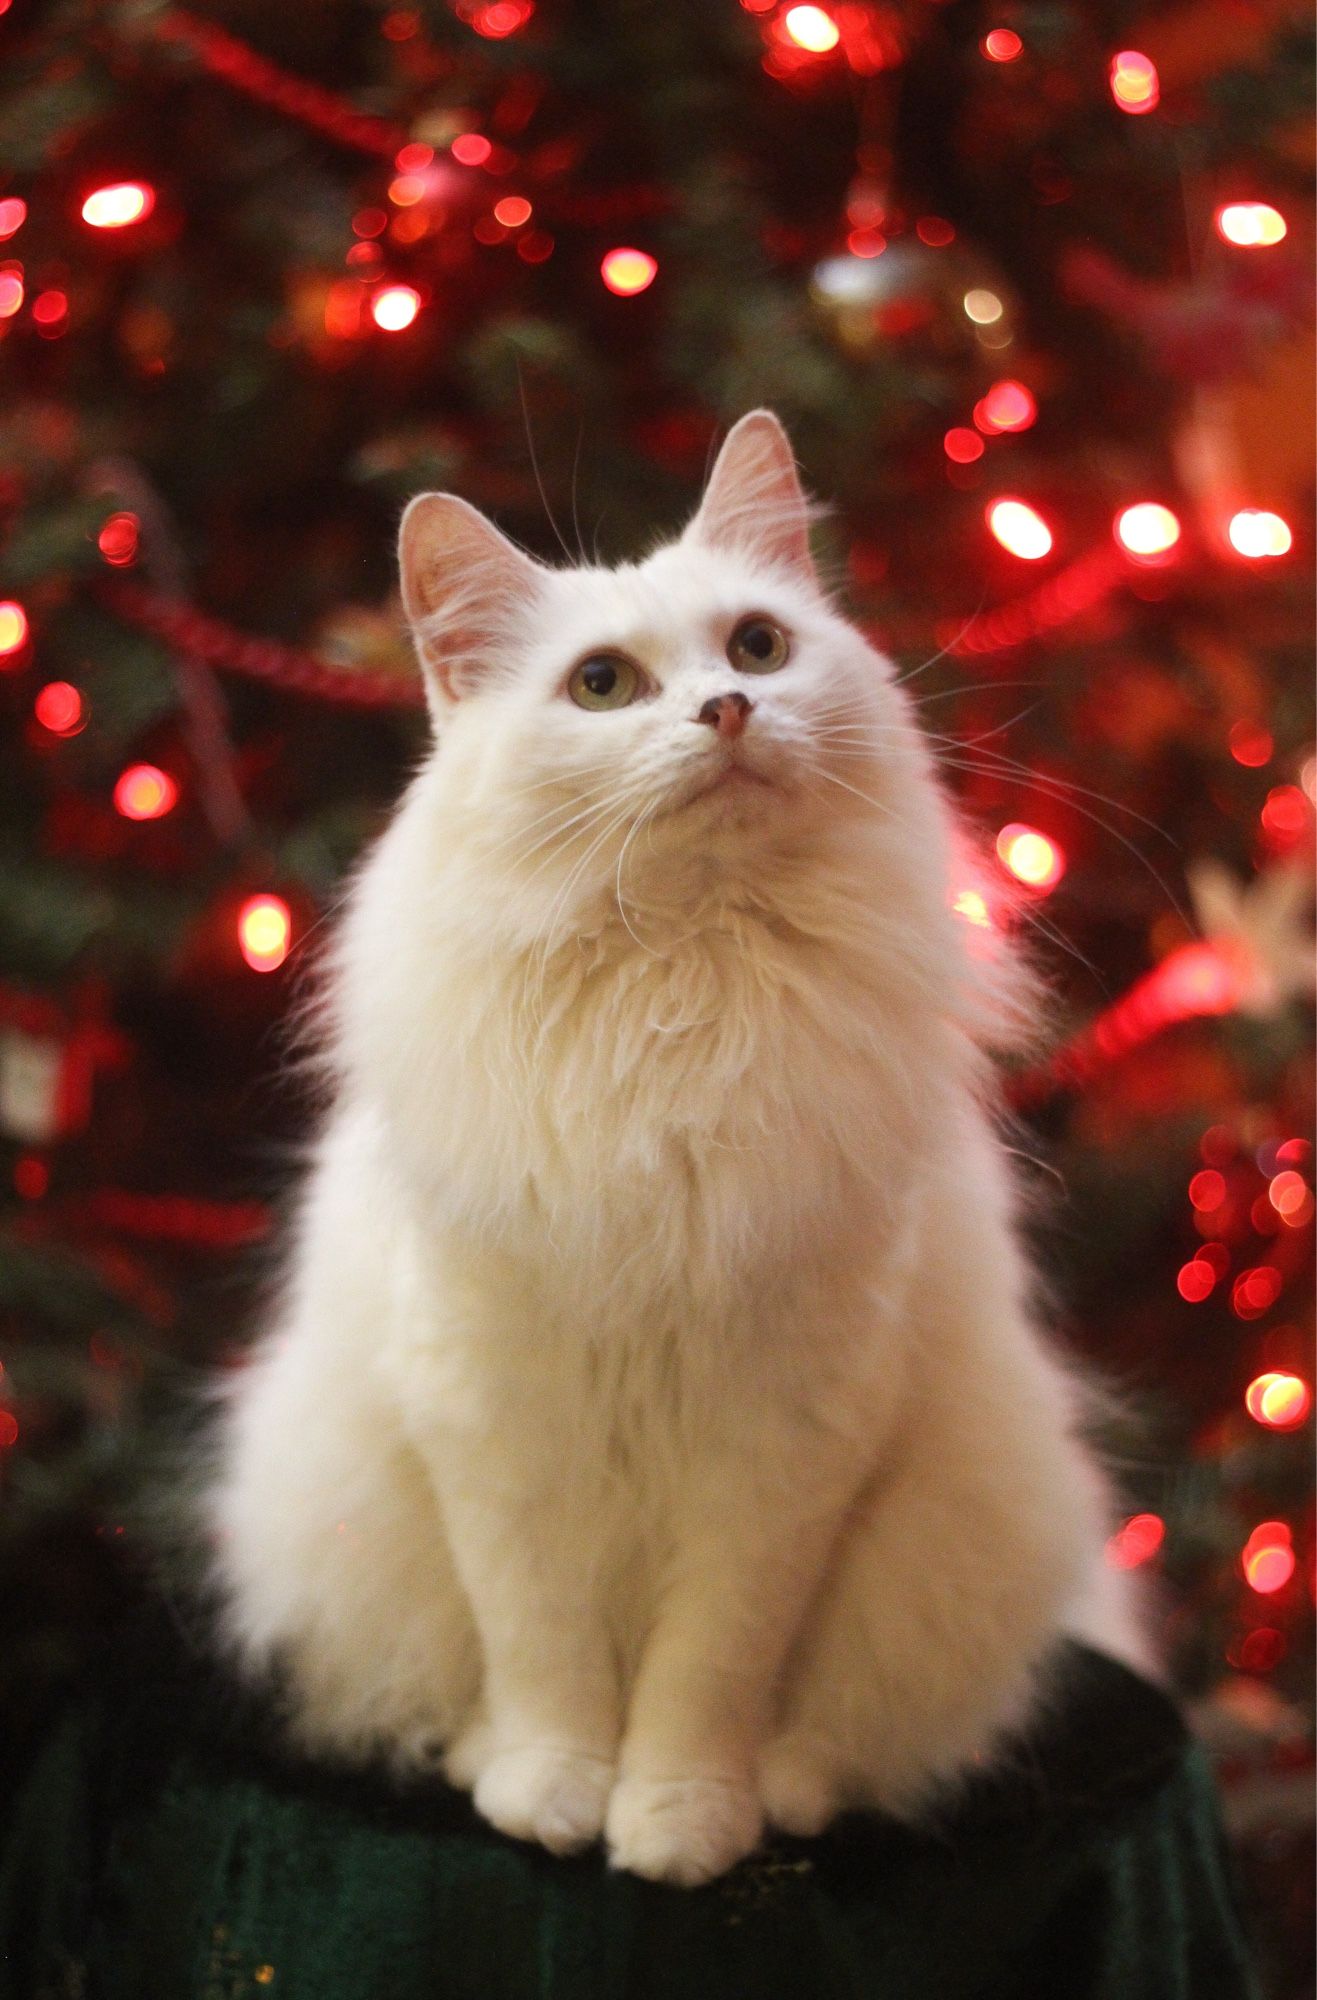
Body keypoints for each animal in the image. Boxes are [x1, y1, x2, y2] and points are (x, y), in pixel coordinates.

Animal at [205, 414, 1136, 1880]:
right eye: (601, 684)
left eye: (757, 645)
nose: (728, 710)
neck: (687, 995)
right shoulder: (496, 1415)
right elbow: (542, 1650)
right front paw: (552, 1797)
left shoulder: (787, 1438)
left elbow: (710, 1670)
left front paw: (681, 1825)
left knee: (845, 1740)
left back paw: (786, 1797)